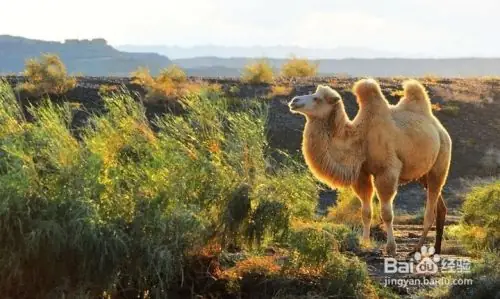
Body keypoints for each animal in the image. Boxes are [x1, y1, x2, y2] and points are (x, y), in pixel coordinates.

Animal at [288, 79, 452, 255]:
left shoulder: (387, 171)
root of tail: (440, 129)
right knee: (440, 207)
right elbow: (366, 212)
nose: (294, 101)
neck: (360, 139)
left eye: (317, 98)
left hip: (440, 163)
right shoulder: (362, 173)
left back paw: (416, 249)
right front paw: (365, 243)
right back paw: (436, 249)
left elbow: (387, 213)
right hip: (423, 176)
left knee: (431, 207)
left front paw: (391, 248)